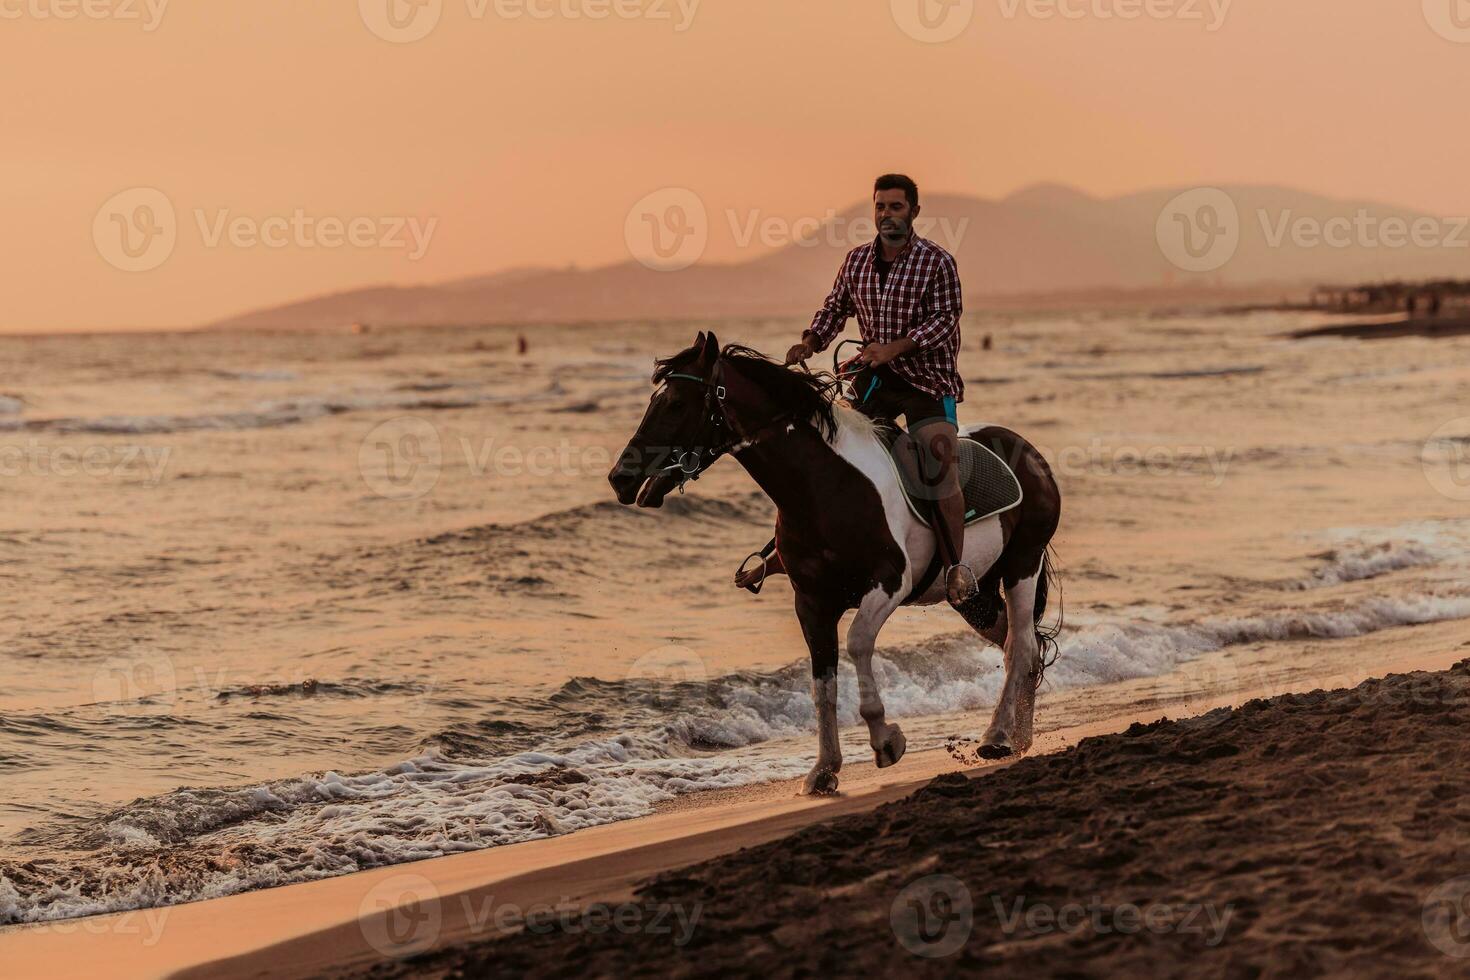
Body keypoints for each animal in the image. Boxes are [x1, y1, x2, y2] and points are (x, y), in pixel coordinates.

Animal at [602, 334, 1064, 799]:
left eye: (677, 403)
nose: (620, 478)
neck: (822, 487)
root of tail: (1031, 455)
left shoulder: (888, 583)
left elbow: (858, 644)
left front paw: (886, 741)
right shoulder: (811, 603)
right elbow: (821, 681)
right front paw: (824, 769)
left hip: (1021, 564)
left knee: (1020, 646)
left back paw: (996, 737)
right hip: (975, 595)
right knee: (1022, 647)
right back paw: (1019, 738)